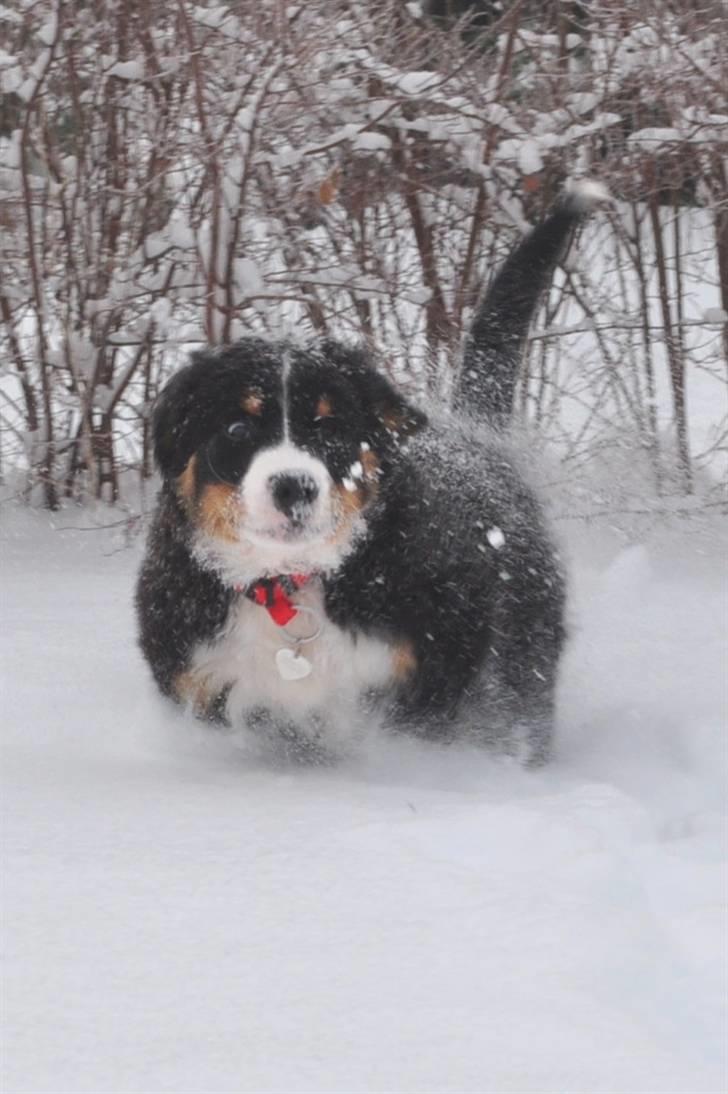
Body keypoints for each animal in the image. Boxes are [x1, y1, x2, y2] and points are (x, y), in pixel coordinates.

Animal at [137, 181, 608, 761]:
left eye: (331, 430)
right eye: (238, 429)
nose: (294, 486)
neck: (292, 584)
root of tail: (474, 431)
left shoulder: (433, 677)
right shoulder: (201, 678)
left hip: (525, 654)